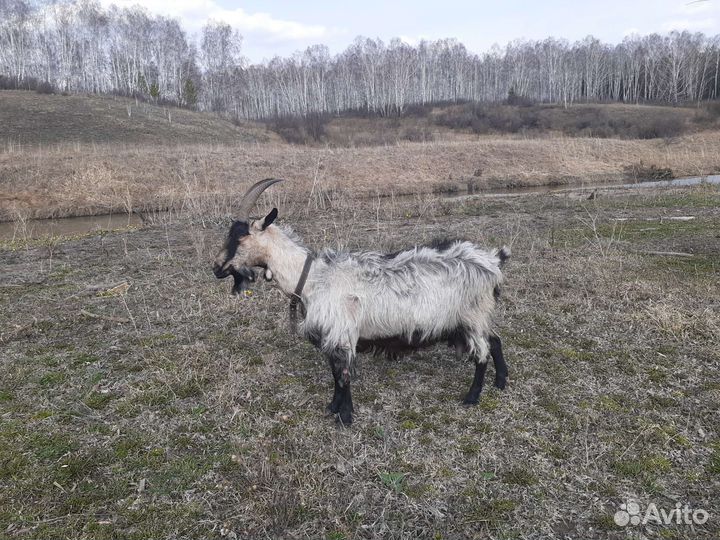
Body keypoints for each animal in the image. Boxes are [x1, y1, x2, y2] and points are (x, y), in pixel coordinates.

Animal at [213, 179, 510, 425]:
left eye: (240, 236)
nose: (216, 268)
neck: (312, 277)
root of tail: (493, 261)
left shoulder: (342, 332)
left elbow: (343, 375)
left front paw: (345, 417)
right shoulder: (331, 335)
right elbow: (334, 373)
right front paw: (333, 408)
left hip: (472, 316)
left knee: (483, 352)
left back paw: (472, 397)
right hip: (477, 317)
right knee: (495, 340)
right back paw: (501, 382)